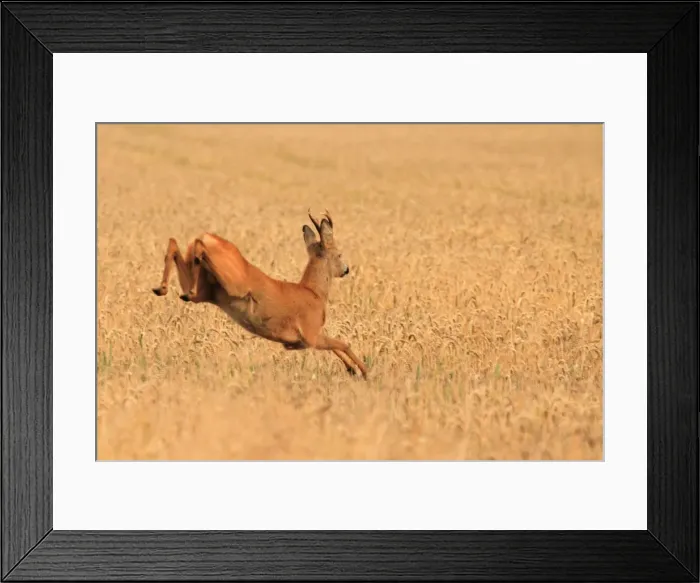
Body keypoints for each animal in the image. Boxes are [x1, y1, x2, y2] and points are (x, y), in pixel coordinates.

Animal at [151, 209, 368, 379]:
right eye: (339, 254)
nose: (346, 269)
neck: (314, 292)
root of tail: (209, 237)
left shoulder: (306, 339)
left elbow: (337, 346)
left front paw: (352, 370)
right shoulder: (310, 334)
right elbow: (343, 344)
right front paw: (365, 372)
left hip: (206, 290)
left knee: (175, 246)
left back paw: (163, 288)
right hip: (234, 283)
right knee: (195, 246)